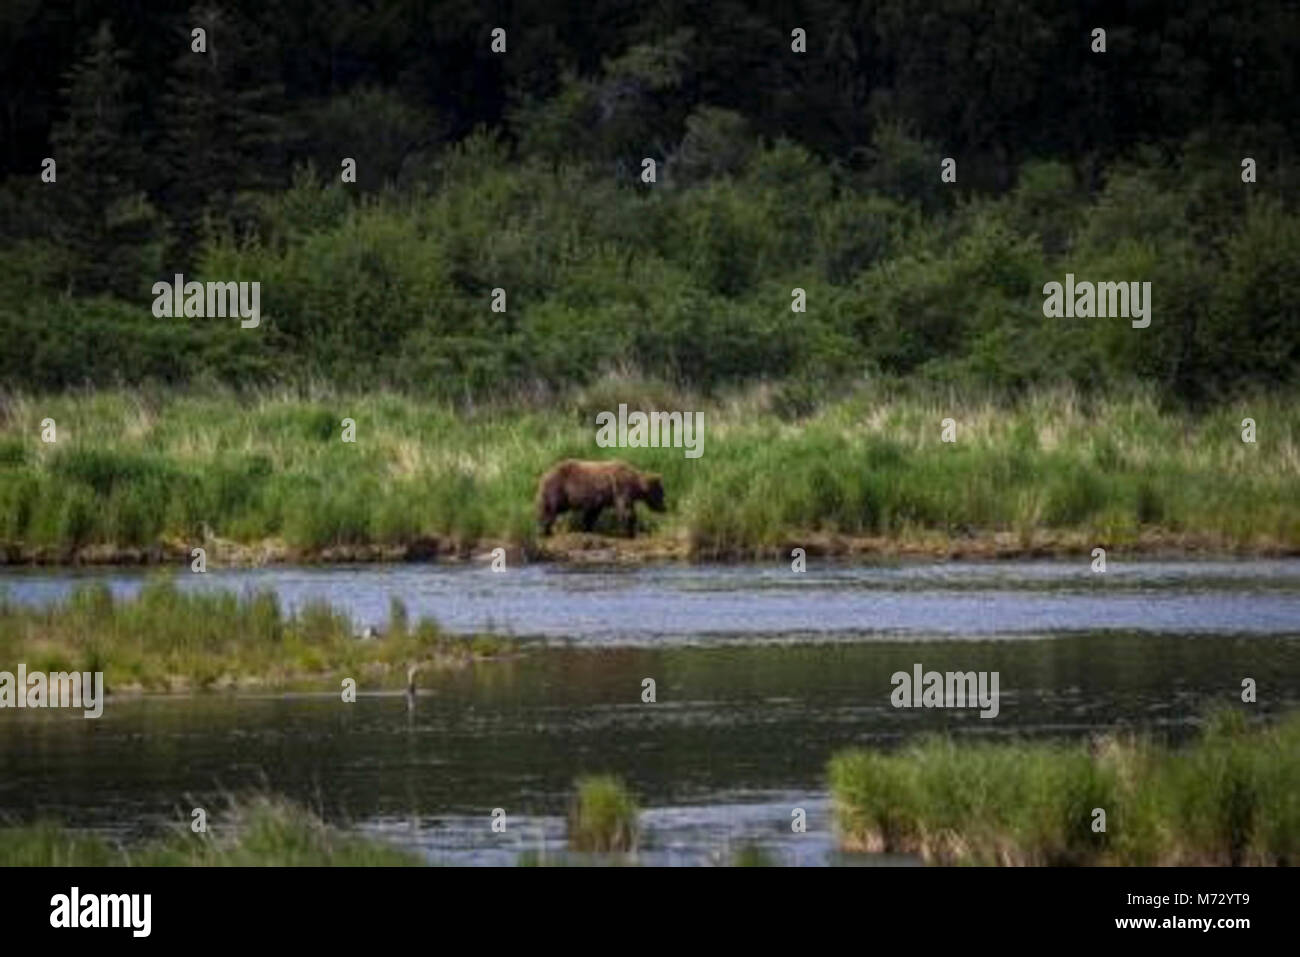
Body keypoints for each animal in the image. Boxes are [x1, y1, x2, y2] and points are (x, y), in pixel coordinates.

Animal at [533, 457, 665, 535]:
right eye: (661, 494)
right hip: (558, 488)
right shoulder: (621, 489)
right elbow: (626, 510)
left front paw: (587, 528)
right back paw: (545, 530)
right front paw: (629, 531)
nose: (664, 508)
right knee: (550, 509)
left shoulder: (601, 498)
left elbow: (592, 513)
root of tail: (544, 474)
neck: (635, 483)